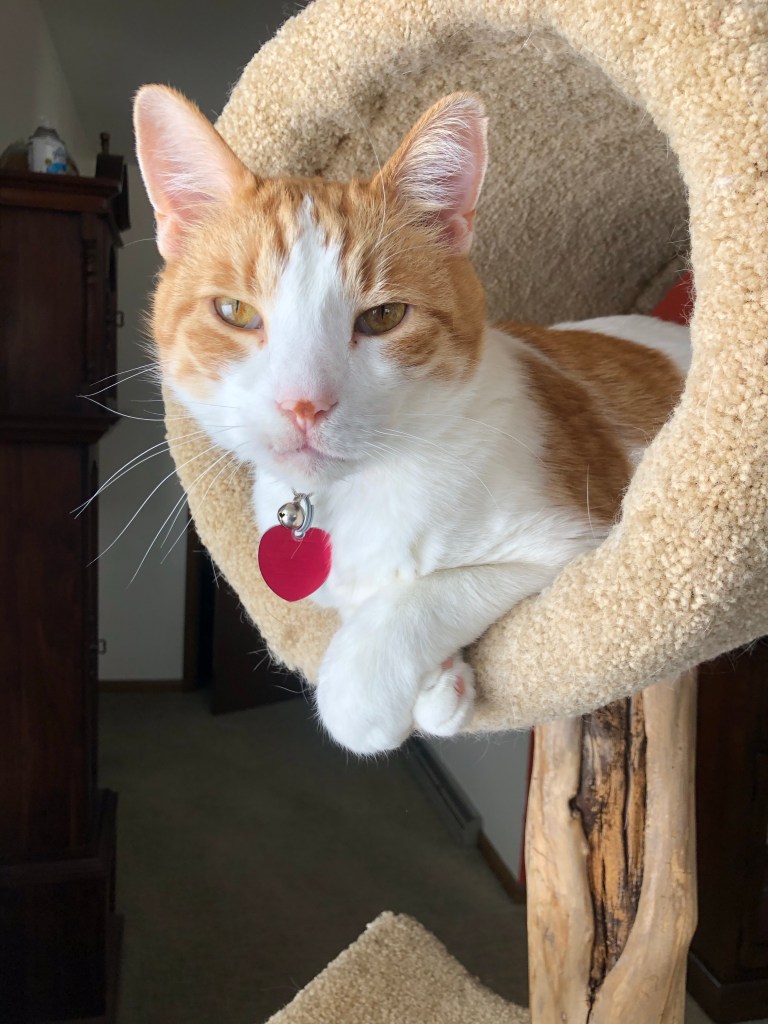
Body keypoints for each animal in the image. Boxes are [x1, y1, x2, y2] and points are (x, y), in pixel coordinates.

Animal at [133, 85, 689, 755]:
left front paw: (379, 690)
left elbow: (402, 622)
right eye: (235, 312)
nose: (304, 404)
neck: (360, 494)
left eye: (384, 317)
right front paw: (442, 685)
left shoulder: (575, 545)